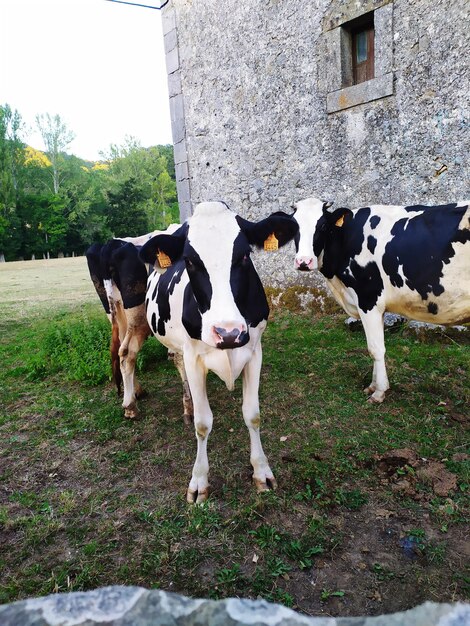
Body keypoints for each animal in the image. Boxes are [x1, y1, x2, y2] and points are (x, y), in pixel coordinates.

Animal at [84, 222, 180, 416]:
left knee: (122, 349)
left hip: (116, 311)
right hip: (137, 316)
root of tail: (110, 245)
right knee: (127, 352)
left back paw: (136, 392)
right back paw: (130, 405)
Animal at [140, 201, 298, 502]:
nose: (227, 332)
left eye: (245, 255)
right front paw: (199, 481)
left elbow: (252, 414)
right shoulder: (194, 355)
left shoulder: (254, 350)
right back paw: (186, 404)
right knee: (175, 364)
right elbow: (202, 424)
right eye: (190, 261)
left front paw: (261, 472)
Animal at [288, 197, 468, 402]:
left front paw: (379, 391)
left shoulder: (368, 299)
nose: (303, 262)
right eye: (293, 227)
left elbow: (375, 348)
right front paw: (373, 386)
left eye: (323, 225)